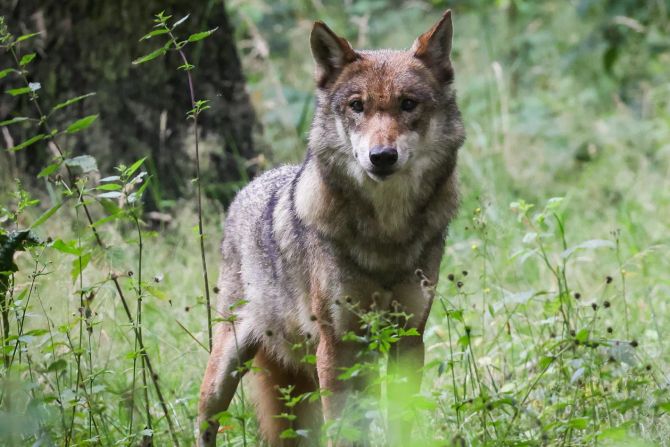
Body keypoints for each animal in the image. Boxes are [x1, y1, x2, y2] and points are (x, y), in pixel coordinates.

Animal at [198, 9, 465, 447]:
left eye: (408, 104)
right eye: (357, 106)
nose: (382, 156)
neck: (386, 235)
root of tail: (250, 186)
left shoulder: (409, 338)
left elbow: (402, 421)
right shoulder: (336, 346)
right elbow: (343, 430)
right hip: (226, 370)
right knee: (204, 420)